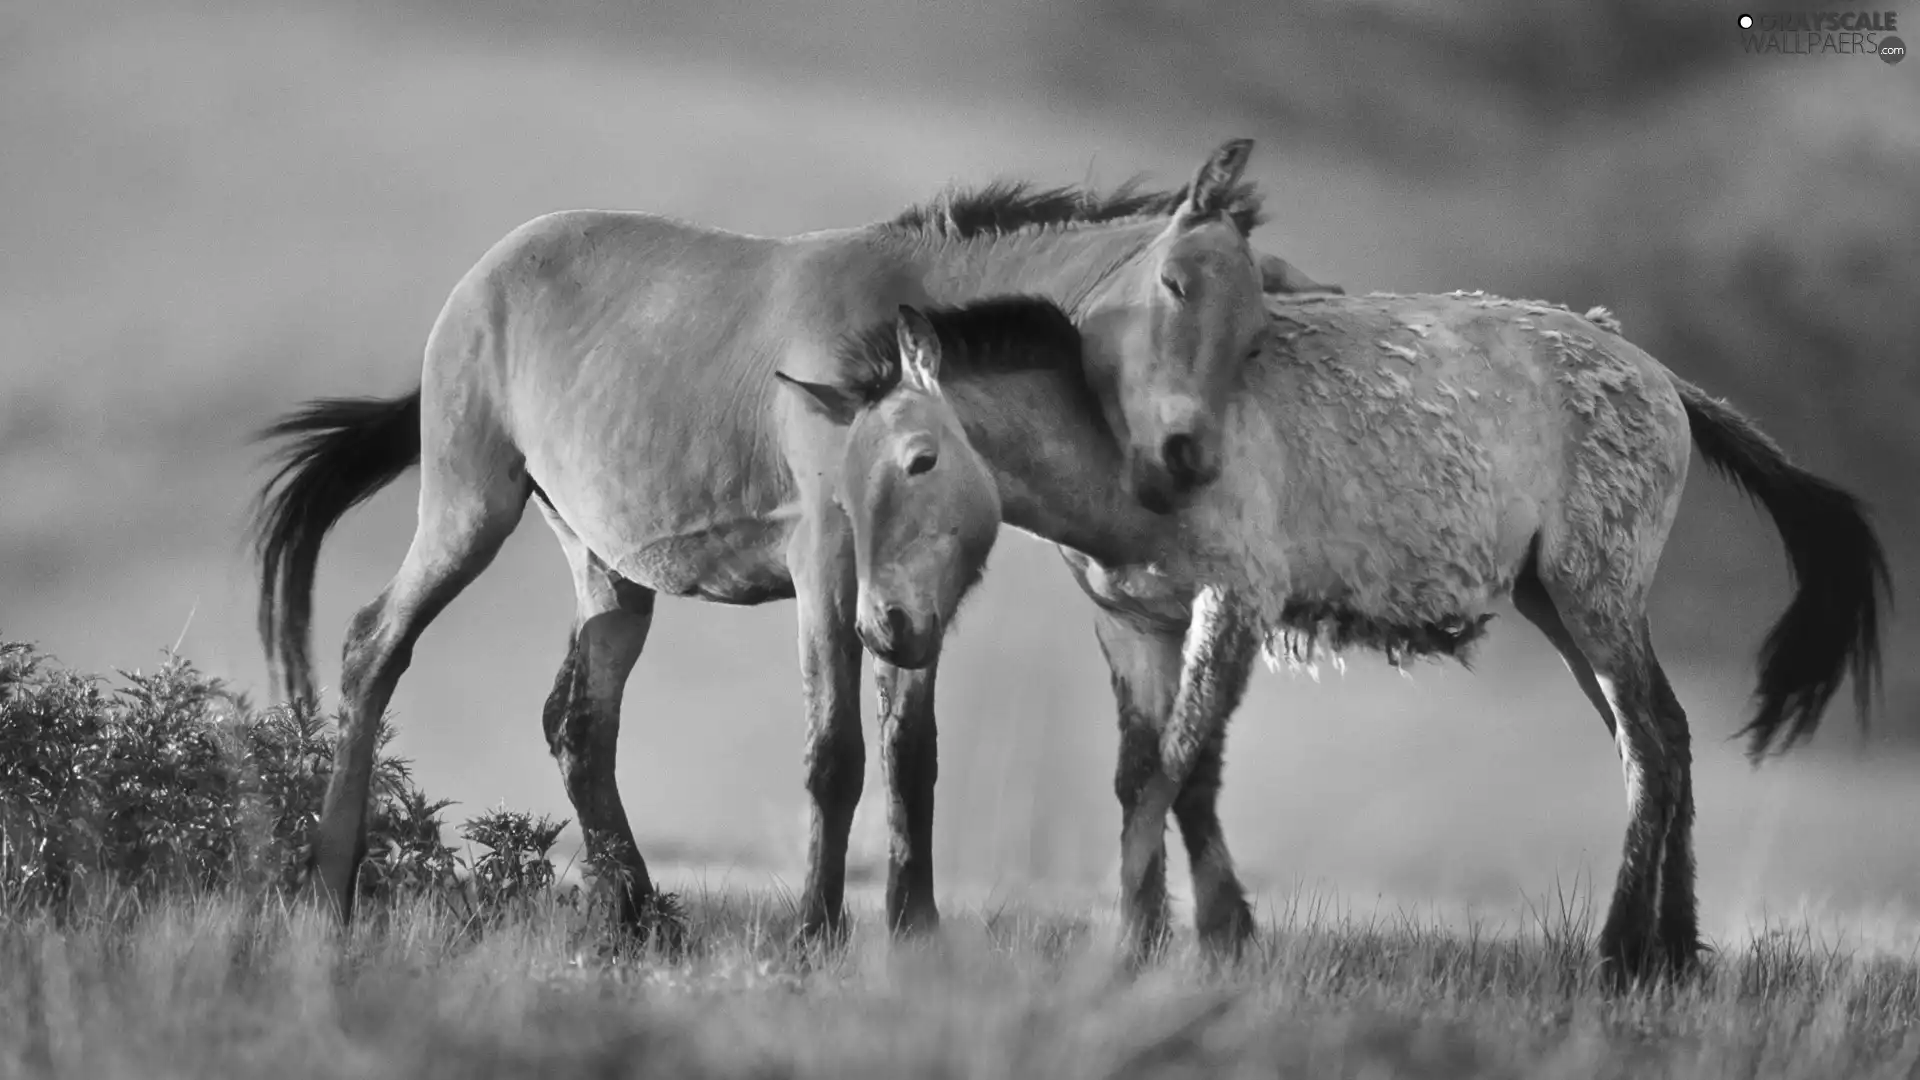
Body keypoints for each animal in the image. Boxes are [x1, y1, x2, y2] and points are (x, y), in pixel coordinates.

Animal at [247, 138, 1282, 937]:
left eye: (1256, 335)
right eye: (1176, 284)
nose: (1187, 460)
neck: (890, 351)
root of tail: (483, 279)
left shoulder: (911, 596)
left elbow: (913, 757)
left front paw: (915, 931)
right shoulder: (828, 563)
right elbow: (837, 755)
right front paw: (815, 933)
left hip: (608, 569)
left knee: (580, 723)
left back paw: (643, 918)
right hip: (469, 513)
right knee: (373, 647)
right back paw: (332, 892)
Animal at [783, 288, 1889, 983]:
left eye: (921, 459)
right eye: (842, 484)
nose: (883, 629)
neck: (1126, 433)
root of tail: (1663, 379)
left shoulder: (1231, 606)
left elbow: (1172, 771)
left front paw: (1157, 942)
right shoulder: (1137, 625)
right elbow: (1157, 775)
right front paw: (1193, 938)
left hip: (1594, 597)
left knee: (1653, 747)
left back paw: (1621, 955)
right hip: (1562, 605)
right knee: (1666, 739)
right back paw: (1674, 954)